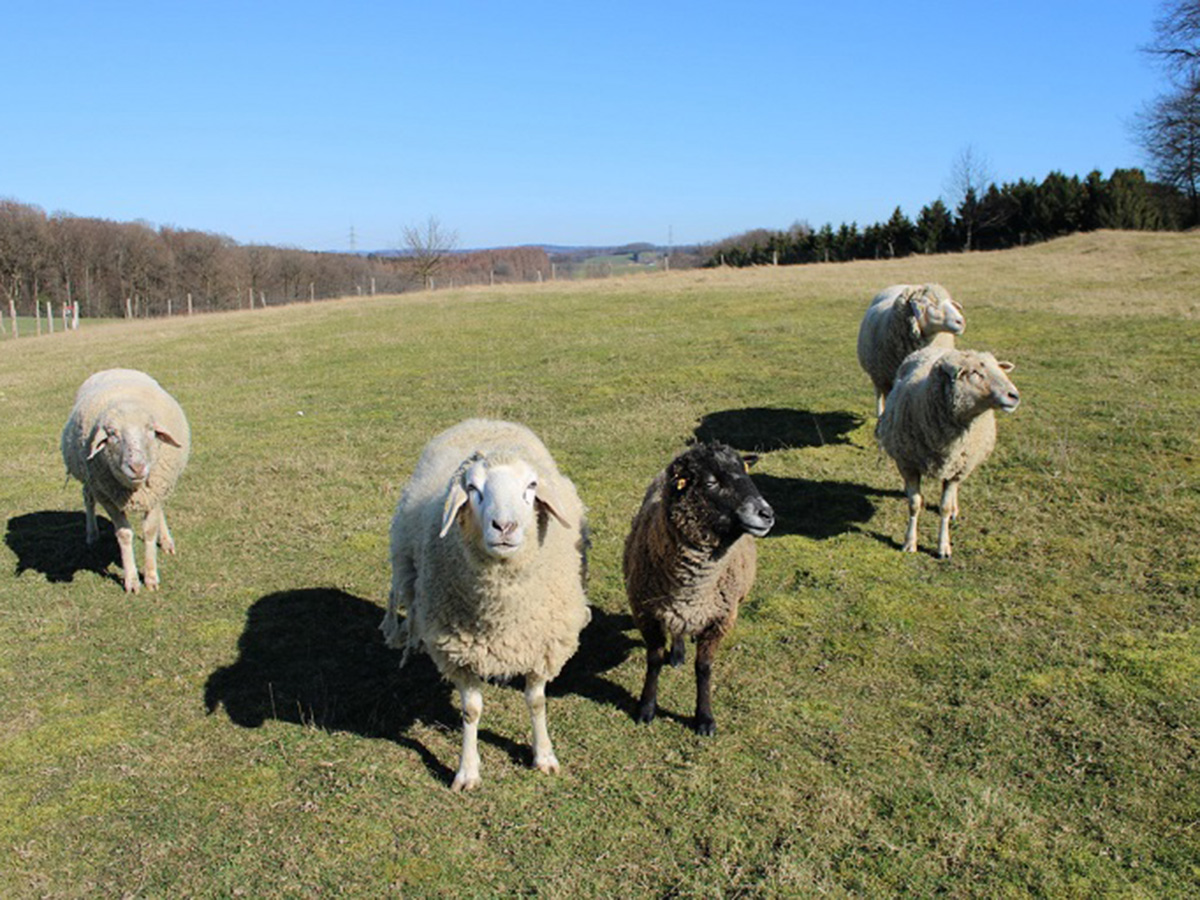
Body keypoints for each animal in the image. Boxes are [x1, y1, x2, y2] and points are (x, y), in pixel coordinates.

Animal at [60, 369, 190, 595]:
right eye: (112, 434)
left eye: (151, 430)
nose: (137, 467)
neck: (134, 489)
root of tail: (113, 369)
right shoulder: (108, 497)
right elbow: (124, 534)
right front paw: (131, 579)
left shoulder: (154, 488)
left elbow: (149, 530)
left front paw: (151, 576)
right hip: (90, 481)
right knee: (88, 498)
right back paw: (92, 534)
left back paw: (166, 541)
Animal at [379, 420, 590, 792]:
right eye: (473, 488)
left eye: (531, 486)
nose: (505, 526)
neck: (502, 615)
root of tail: (486, 420)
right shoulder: (459, 653)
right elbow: (471, 711)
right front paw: (467, 771)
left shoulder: (543, 644)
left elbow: (537, 701)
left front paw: (544, 755)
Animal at [624, 444, 772, 739]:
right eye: (712, 482)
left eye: (745, 472)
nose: (767, 514)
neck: (693, 589)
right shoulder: (646, 612)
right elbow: (654, 659)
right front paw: (646, 707)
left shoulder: (721, 618)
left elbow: (704, 668)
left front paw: (704, 718)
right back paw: (678, 652)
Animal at [873, 345, 1022, 556]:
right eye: (974, 372)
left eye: (999, 369)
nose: (1014, 396)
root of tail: (936, 347)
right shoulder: (908, 464)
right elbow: (914, 504)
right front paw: (909, 542)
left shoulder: (956, 469)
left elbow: (944, 507)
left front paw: (943, 546)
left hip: (961, 465)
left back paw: (954, 509)